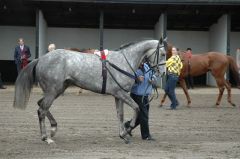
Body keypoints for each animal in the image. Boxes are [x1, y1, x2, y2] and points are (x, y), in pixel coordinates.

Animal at [14, 39, 166, 143]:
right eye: (163, 53)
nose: (163, 72)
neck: (123, 62)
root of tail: (41, 59)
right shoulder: (121, 94)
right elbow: (136, 108)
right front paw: (128, 129)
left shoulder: (118, 95)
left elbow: (120, 114)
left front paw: (122, 134)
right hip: (52, 91)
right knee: (42, 110)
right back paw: (46, 137)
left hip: (57, 90)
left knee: (41, 105)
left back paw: (53, 128)